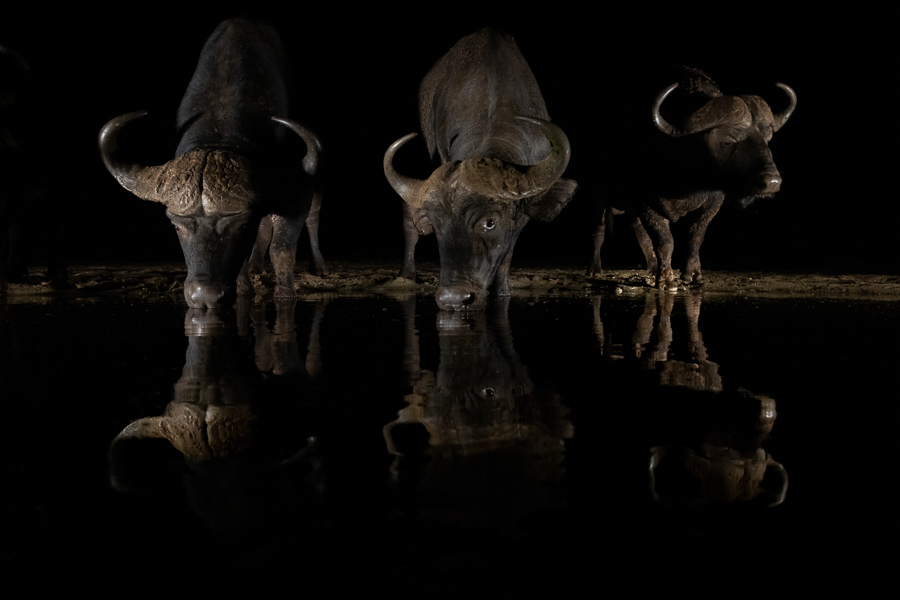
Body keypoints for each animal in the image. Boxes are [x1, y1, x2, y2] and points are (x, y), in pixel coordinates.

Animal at [99, 19, 327, 308]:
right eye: (176, 226)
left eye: (242, 226)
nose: (204, 296)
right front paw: (243, 288)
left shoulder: (297, 190)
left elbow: (282, 249)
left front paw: (285, 295)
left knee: (313, 216)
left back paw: (319, 267)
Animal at [384, 28, 577, 310]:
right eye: (437, 225)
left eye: (489, 222)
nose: (453, 298)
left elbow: (507, 253)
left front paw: (502, 291)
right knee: (409, 221)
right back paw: (406, 276)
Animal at [589, 68, 796, 291]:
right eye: (728, 140)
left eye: (767, 139)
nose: (772, 183)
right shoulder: (647, 204)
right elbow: (665, 242)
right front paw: (667, 280)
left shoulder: (712, 204)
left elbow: (695, 237)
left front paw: (693, 275)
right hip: (598, 194)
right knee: (598, 230)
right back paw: (594, 270)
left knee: (639, 231)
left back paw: (652, 268)